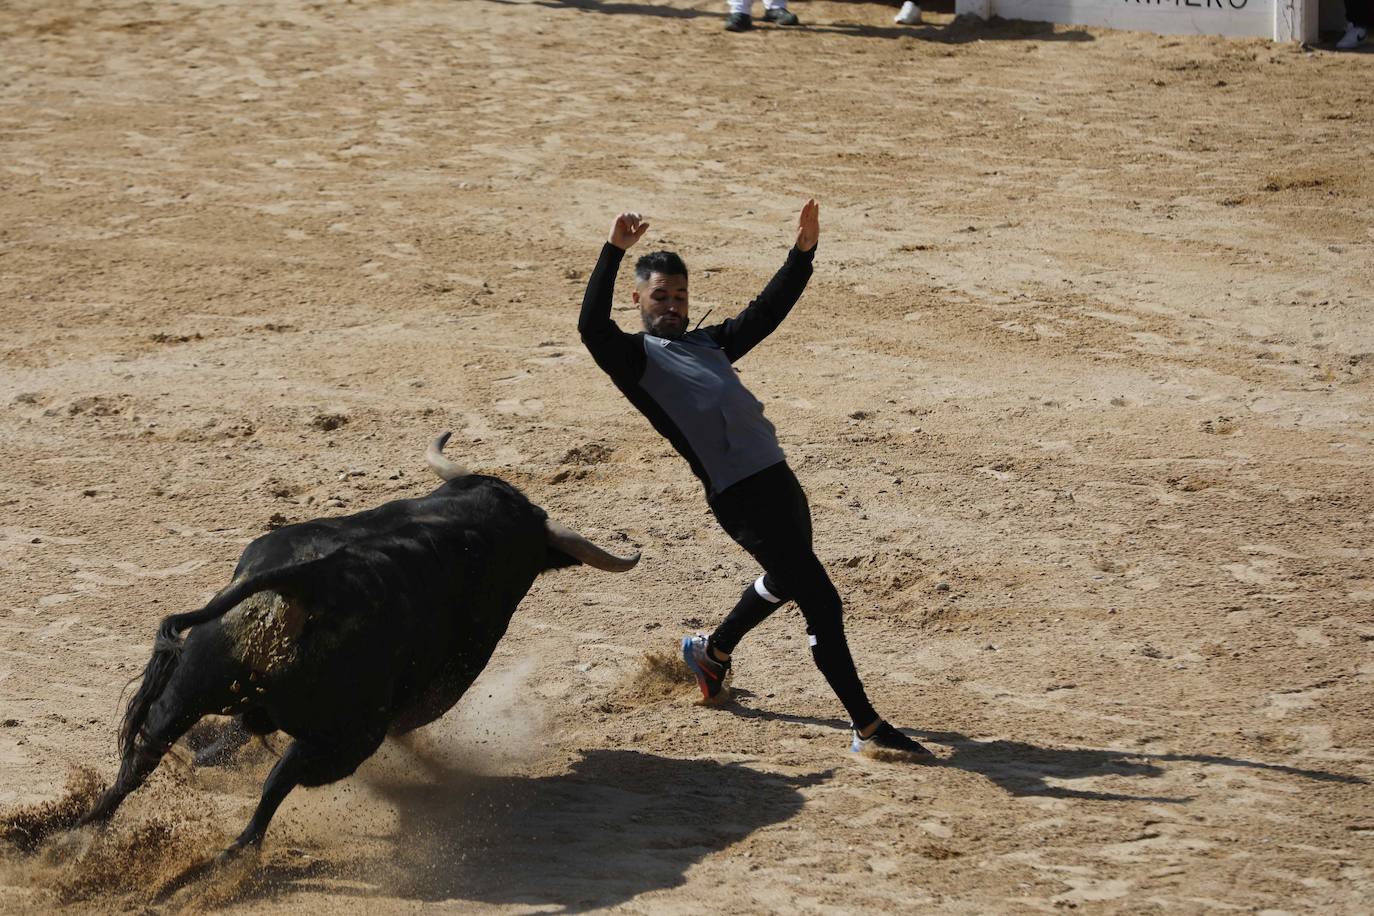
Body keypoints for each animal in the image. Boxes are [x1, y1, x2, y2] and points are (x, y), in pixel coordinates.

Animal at [72, 433, 634, 856]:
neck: (470, 520)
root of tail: (311, 581)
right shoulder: (442, 682)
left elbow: (234, 734)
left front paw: (208, 757)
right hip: (345, 737)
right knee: (277, 783)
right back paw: (230, 857)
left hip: (191, 685)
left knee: (142, 758)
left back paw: (76, 833)